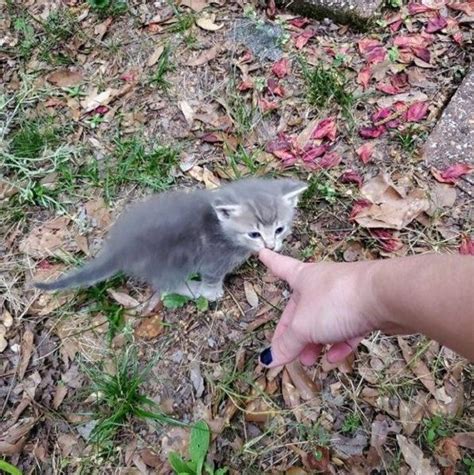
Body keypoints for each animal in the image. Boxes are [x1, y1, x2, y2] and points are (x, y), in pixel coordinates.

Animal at [34, 178, 308, 302]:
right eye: (254, 234)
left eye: (280, 229)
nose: (270, 245)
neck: (221, 228)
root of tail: (120, 249)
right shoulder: (213, 262)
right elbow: (212, 278)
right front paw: (211, 292)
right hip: (173, 264)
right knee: (166, 286)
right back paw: (194, 290)